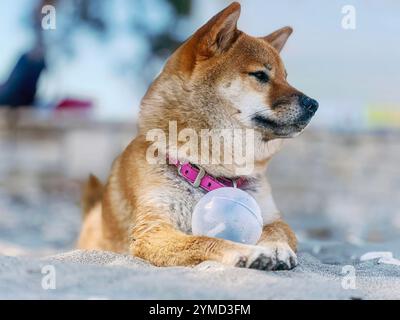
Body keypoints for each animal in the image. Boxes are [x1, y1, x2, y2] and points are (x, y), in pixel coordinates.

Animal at [76, 2, 318, 270]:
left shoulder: (272, 216)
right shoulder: (153, 230)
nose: (314, 104)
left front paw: (275, 247)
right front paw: (247, 251)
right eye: (260, 75)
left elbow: (275, 231)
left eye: (285, 77)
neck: (214, 174)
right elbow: (204, 239)